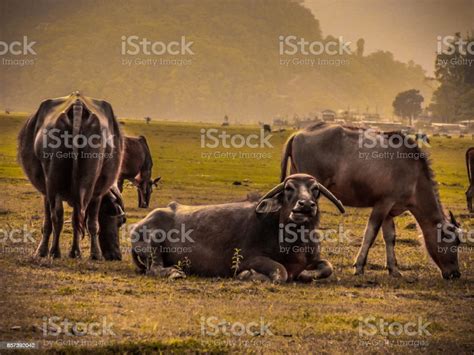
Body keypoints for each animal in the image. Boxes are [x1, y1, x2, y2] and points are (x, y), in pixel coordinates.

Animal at [17, 93, 123, 260]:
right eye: (120, 221)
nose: (117, 256)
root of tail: (77, 104)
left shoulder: (49, 192)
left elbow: (55, 222)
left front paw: (42, 250)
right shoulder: (97, 193)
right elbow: (88, 222)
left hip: (54, 182)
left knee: (59, 216)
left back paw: (58, 251)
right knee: (74, 216)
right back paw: (72, 252)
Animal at [130, 174, 344, 282]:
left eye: (315, 190)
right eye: (289, 188)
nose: (305, 205)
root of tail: (138, 226)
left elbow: (327, 267)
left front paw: (307, 274)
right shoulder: (249, 259)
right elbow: (281, 272)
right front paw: (249, 275)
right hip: (153, 245)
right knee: (154, 268)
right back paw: (174, 272)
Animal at [280, 124, 462, 280]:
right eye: (453, 242)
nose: (456, 274)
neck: (414, 175)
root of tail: (299, 134)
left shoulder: (389, 210)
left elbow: (390, 237)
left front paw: (393, 269)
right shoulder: (383, 204)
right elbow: (371, 233)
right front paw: (359, 266)